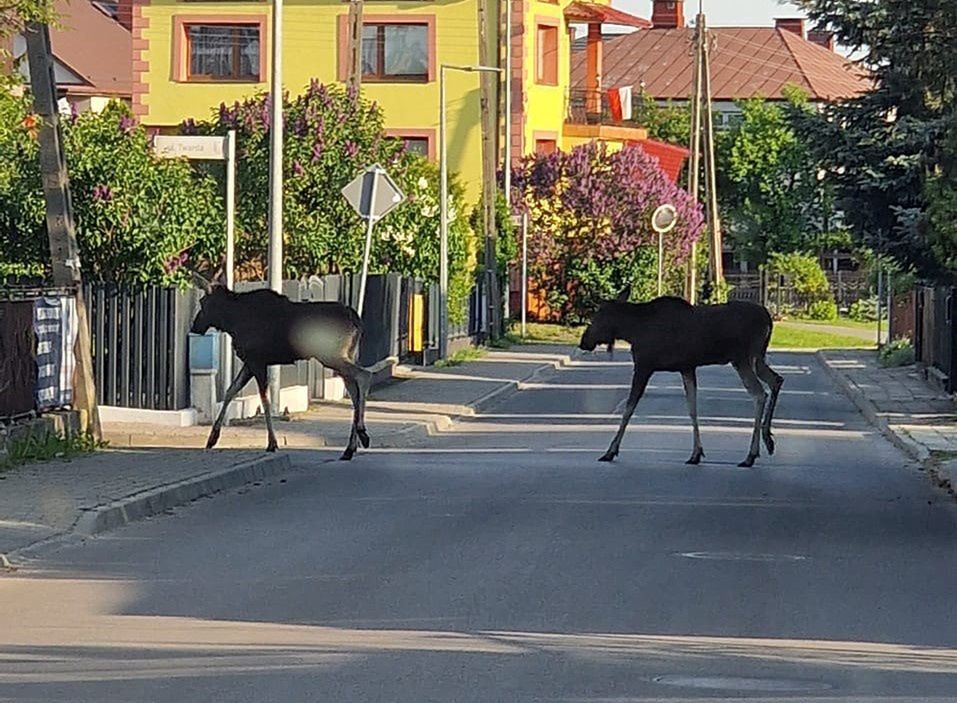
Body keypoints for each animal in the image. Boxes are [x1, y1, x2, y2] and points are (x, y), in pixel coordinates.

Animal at [190, 276, 370, 462]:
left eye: (202, 301)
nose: (194, 326)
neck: (231, 322)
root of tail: (357, 321)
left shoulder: (257, 361)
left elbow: (265, 400)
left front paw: (272, 443)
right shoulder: (250, 362)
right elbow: (230, 391)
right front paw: (212, 438)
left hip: (331, 355)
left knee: (364, 375)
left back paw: (362, 434)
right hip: (344, 356)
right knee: (354, 392)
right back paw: (350, 448)